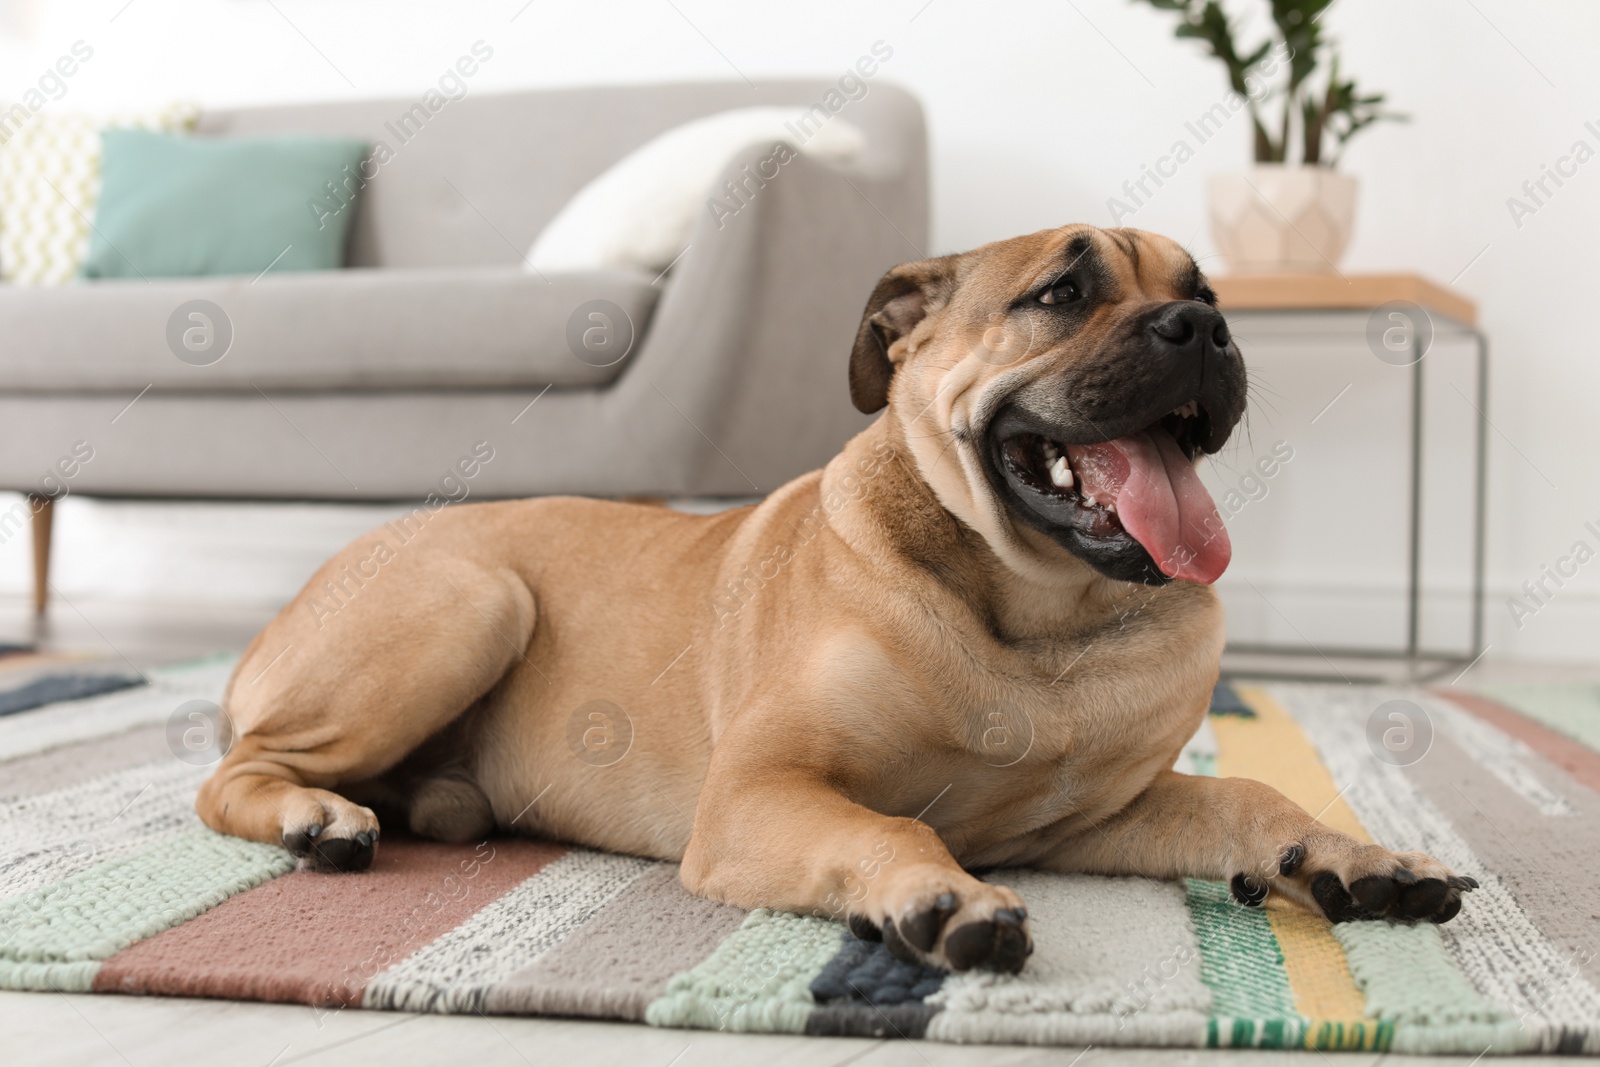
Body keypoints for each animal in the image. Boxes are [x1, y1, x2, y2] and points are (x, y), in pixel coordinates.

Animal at [193, 225, 1465, 979]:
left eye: (1203, 291)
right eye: (1062, 291)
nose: (1204, 326)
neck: (1040, 617)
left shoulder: (1100, 814)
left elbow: (1244, 792)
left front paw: (1353, 856)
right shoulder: (762, 790)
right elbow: (889, 823)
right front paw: (939, 892)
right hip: (472, 599)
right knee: (231, 771)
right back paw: (316, 816)